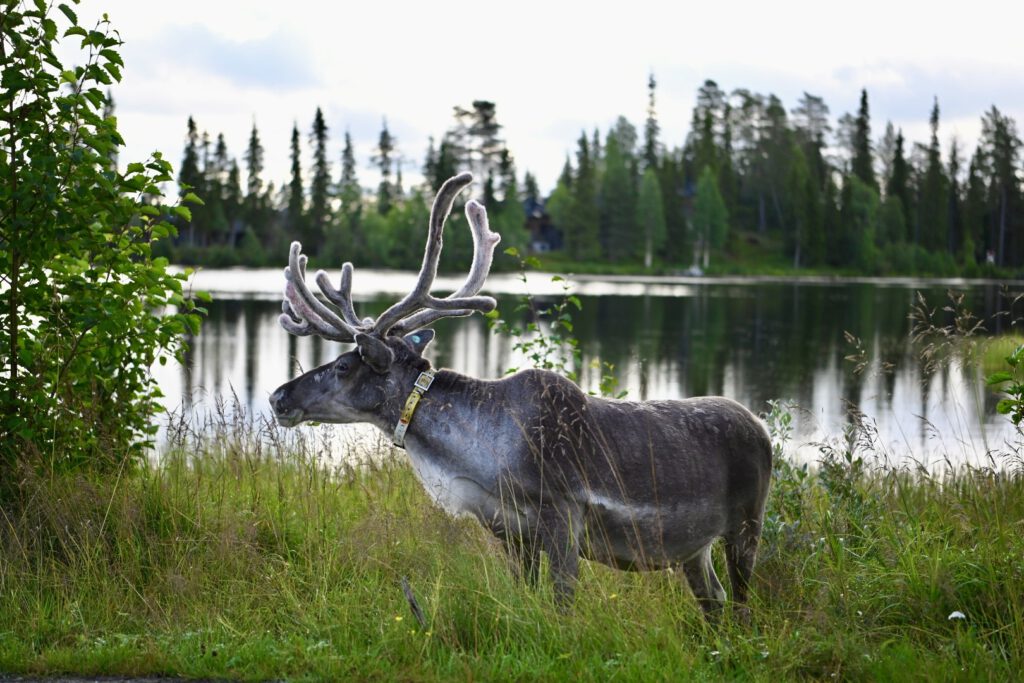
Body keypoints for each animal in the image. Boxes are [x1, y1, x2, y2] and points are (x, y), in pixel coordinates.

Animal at [270, 172, 772, 618]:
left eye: (342, 366)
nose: (278, 397)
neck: (477, 459)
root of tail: (763, 428)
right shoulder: (511, 533)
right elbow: (526, 599)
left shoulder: (564, 517)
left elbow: (562, 607)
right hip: (694, 547)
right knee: (714, 600)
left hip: (747, 523)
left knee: (743, 605)